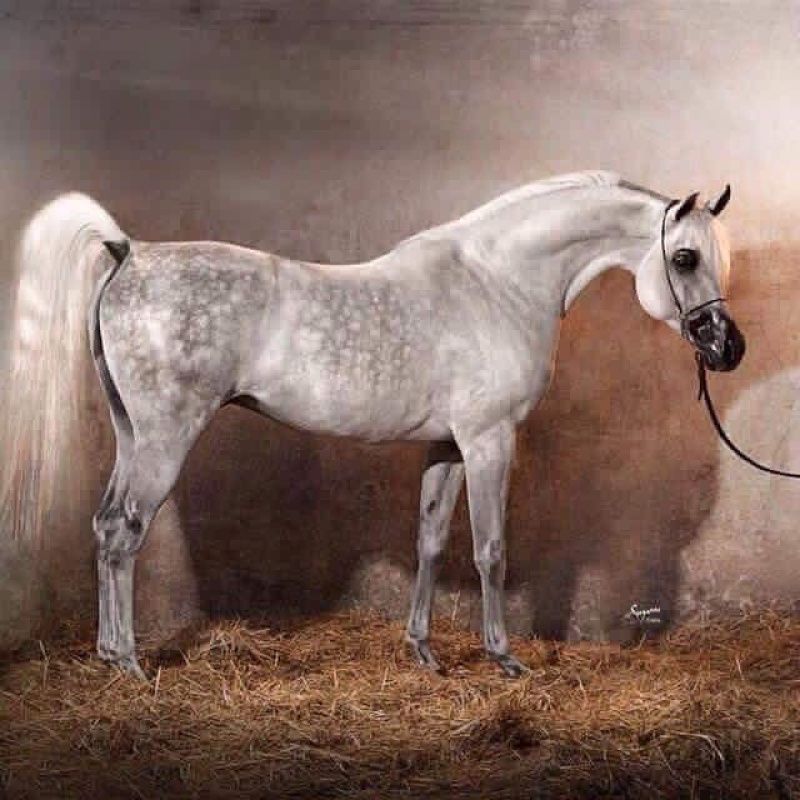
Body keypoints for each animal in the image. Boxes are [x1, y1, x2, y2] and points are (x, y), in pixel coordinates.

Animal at [0, 171, 743, 679]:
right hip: (163, 439)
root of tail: (132, 252)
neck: (497, 285)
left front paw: (424, 652)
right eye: (684, 258)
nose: (726, 347)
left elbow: (431, 541)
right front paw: (503, 658)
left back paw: (107, 651)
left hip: (131, 435)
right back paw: (127, 661)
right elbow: (491, 549)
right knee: (126, 532)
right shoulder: (489, 440)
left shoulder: (446, 445)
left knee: (105, 527)